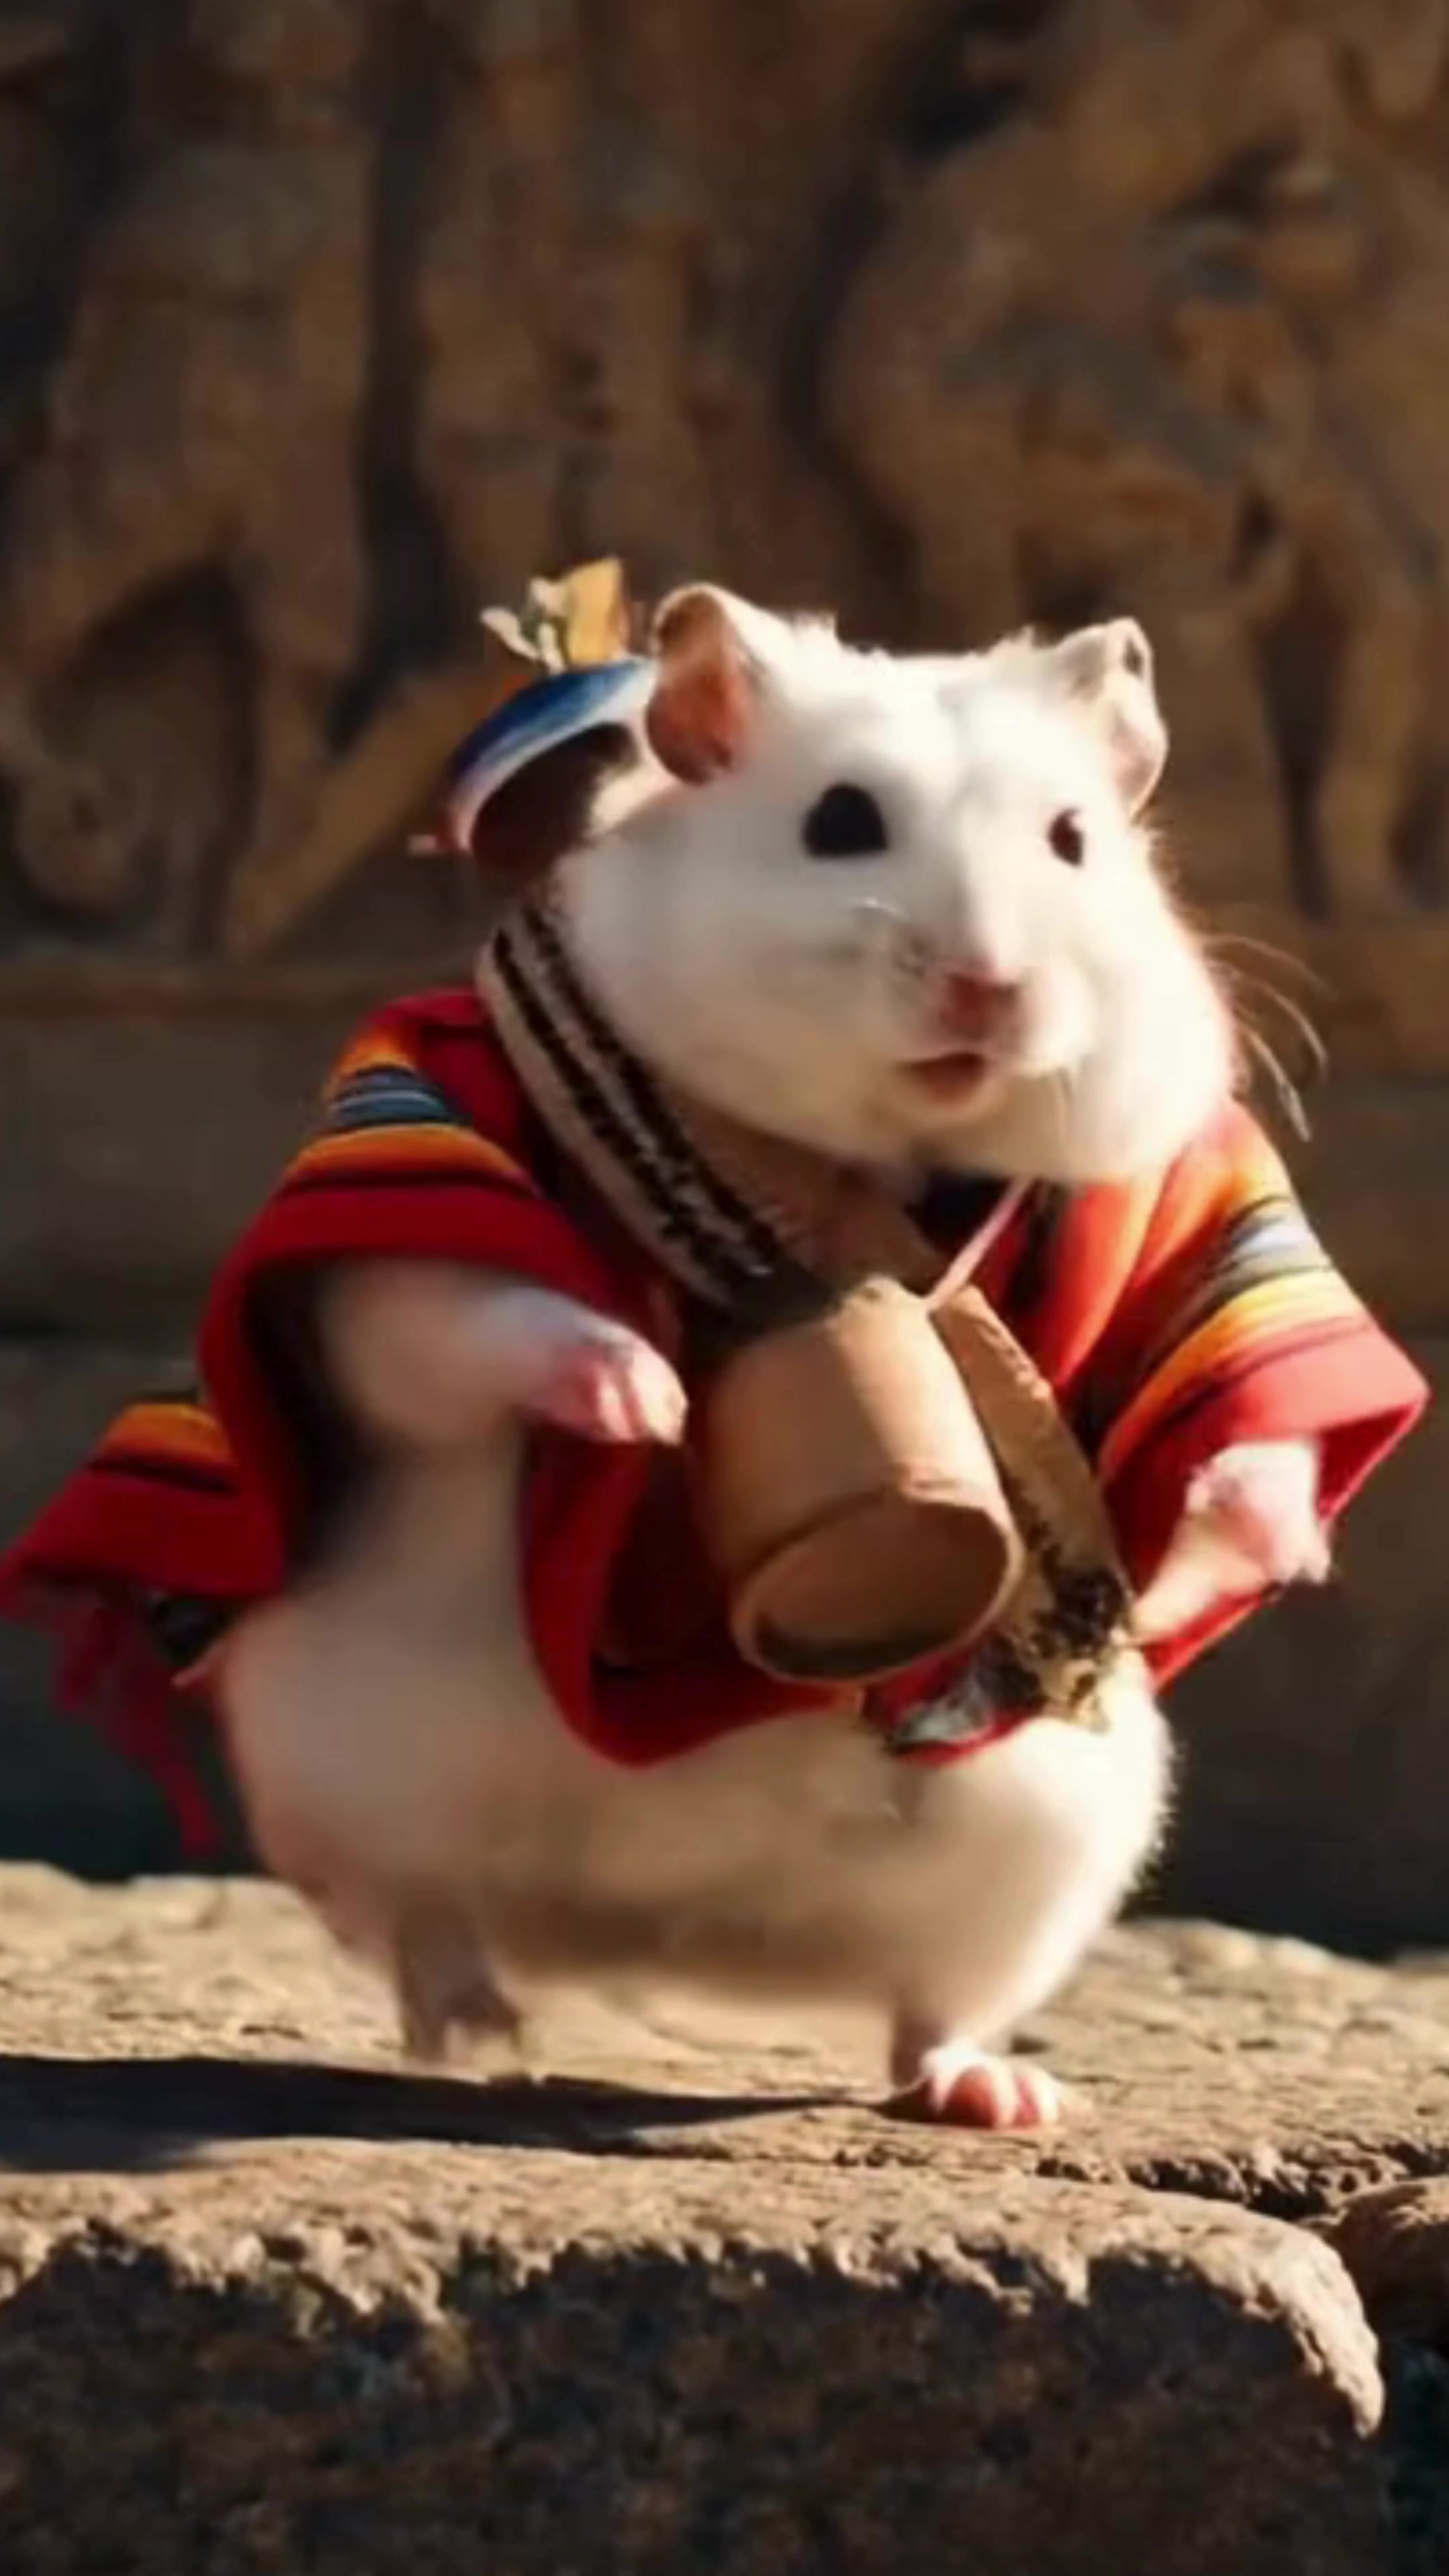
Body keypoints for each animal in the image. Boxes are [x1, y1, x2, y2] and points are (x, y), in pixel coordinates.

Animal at [216, 588, 1329, 2128]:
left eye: (1072, 841)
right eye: (840, 822)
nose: (986, 989)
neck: (878, 1148)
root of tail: (662, 1943)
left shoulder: (1194, 1224)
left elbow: (1243, 1424)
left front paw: (1287, 1553)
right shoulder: (424, 1174)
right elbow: (482, 1319)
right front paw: (645, 1397)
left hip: (1044, 1842)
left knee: (934, 2011)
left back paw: (1001, 2097)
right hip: (340, 1756)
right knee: (424, 1923)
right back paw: (479, 2039)